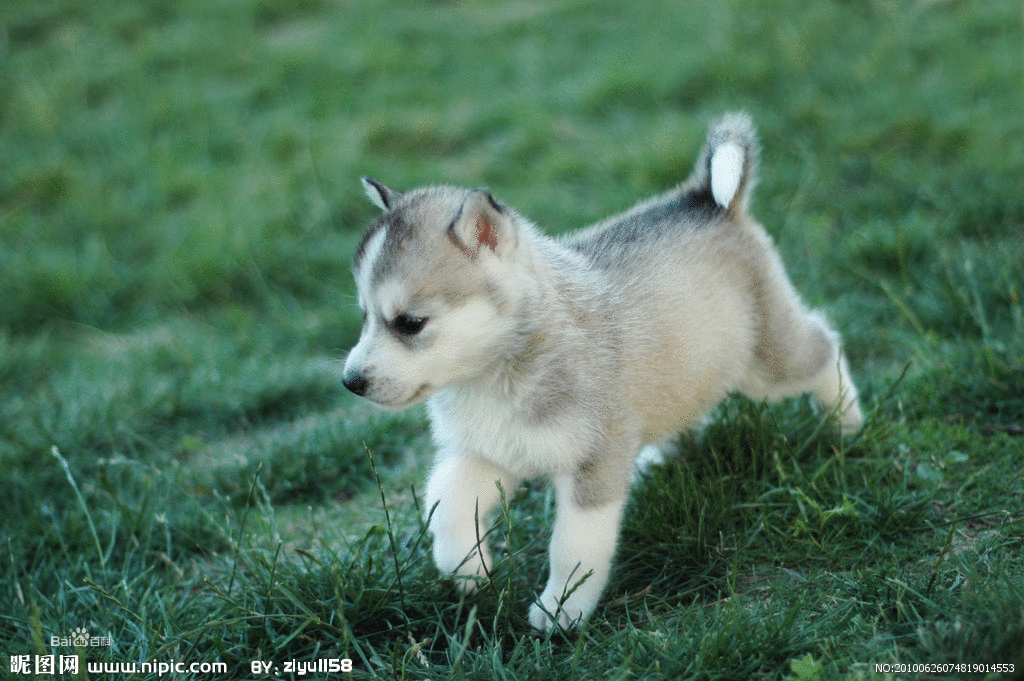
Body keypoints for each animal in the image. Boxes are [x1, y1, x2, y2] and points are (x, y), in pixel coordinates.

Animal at [344, 111, 864, 626]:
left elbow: (573, 546)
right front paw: (469, 573)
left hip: (766, 364)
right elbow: (446, 505)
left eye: (410, 323)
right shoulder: (488, 451)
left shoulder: (592, 466)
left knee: (823, 345)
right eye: (364, 316)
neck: (498, 374)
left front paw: (560, 611)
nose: (351, 382)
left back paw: (847, 423)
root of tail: (705, 200)